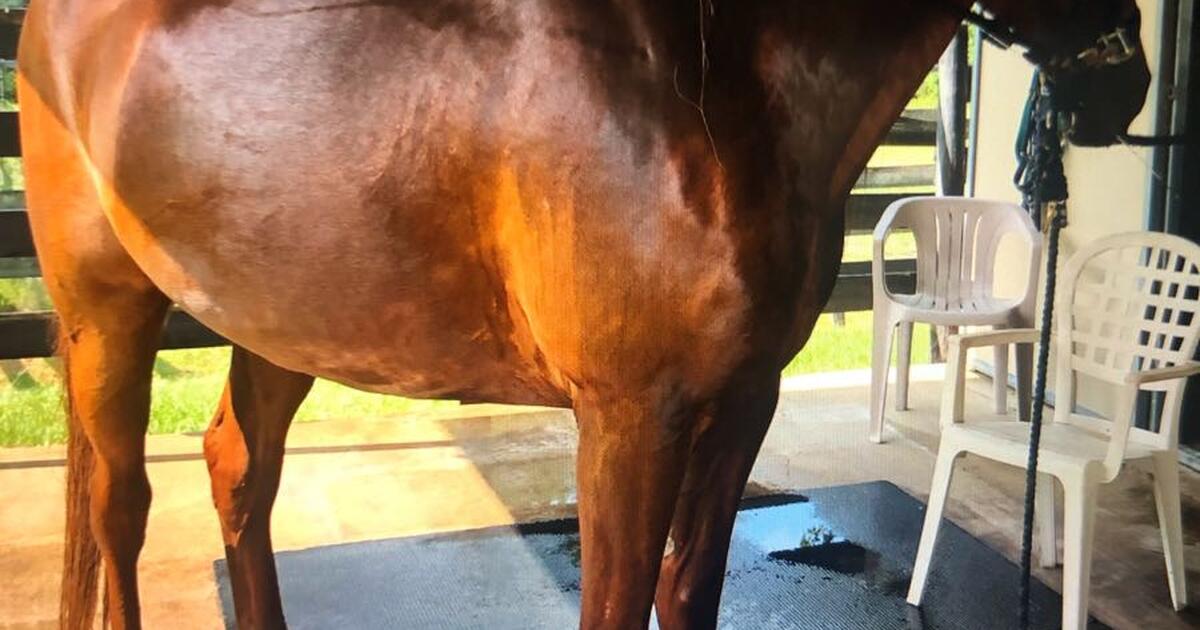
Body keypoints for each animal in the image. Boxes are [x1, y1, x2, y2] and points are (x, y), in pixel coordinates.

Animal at [16, 0, 1149, 628]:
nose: (1126, 84)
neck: (714, 78)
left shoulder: (743, 402)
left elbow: (687, 595)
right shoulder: (628, 418)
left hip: (281, 318)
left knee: (238, 472)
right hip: (107, 312)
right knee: (120, 511)